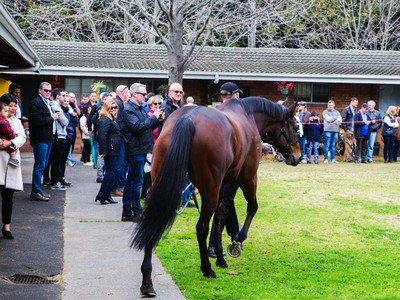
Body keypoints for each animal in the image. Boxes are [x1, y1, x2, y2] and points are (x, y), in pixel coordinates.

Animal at [131, 98, 300, 296]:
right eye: (295, 126)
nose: (297, 157)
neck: (248, 116)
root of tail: (188, 119)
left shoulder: (223, 184)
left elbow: (220, 217)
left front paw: (220, 257)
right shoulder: (248, 177)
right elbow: (252, 207)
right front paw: (237, 241)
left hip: (163, 185)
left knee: (154, 220)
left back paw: (147, 280)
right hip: (210, 189)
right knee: (201, 227)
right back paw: (207, 269)